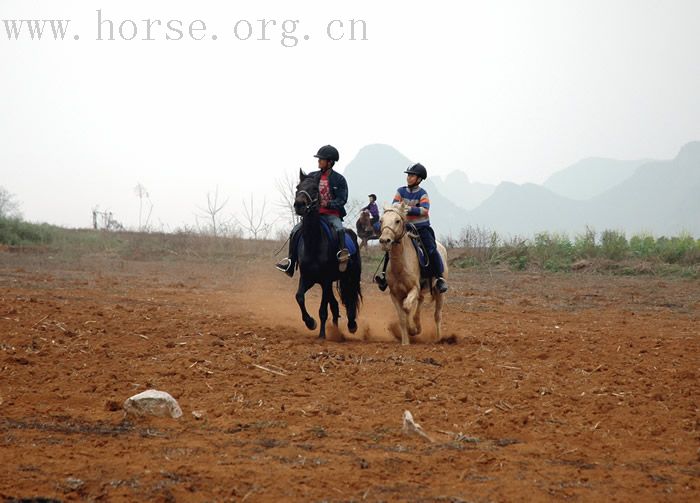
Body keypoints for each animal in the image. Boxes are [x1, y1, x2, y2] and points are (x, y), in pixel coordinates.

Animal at [292, 169, 364, 338]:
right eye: (298, 187)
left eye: (315, 189)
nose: (299, 205)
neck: (313, 243)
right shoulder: (308, 277)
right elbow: (299, 297)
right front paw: (310, 323)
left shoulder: (325, 280)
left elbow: (323, 310)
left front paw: (322, 335)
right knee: (336, 305)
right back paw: (336, 331)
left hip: (352, 276)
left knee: (350, 299)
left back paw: (351, 325)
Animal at [378, 203, 448, 344]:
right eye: (381, 220)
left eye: (397, 221)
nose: (384, 241)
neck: (400, 267)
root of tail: (441, 247)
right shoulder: (394, 294)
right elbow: (402, 317)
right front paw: (406, 341)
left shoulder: (414, 288)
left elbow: (407, 308)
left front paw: (413, 330)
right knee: (420, 303)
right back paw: (418, 325)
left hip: (439, 293)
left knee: (437, 315)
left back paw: (438, 338)